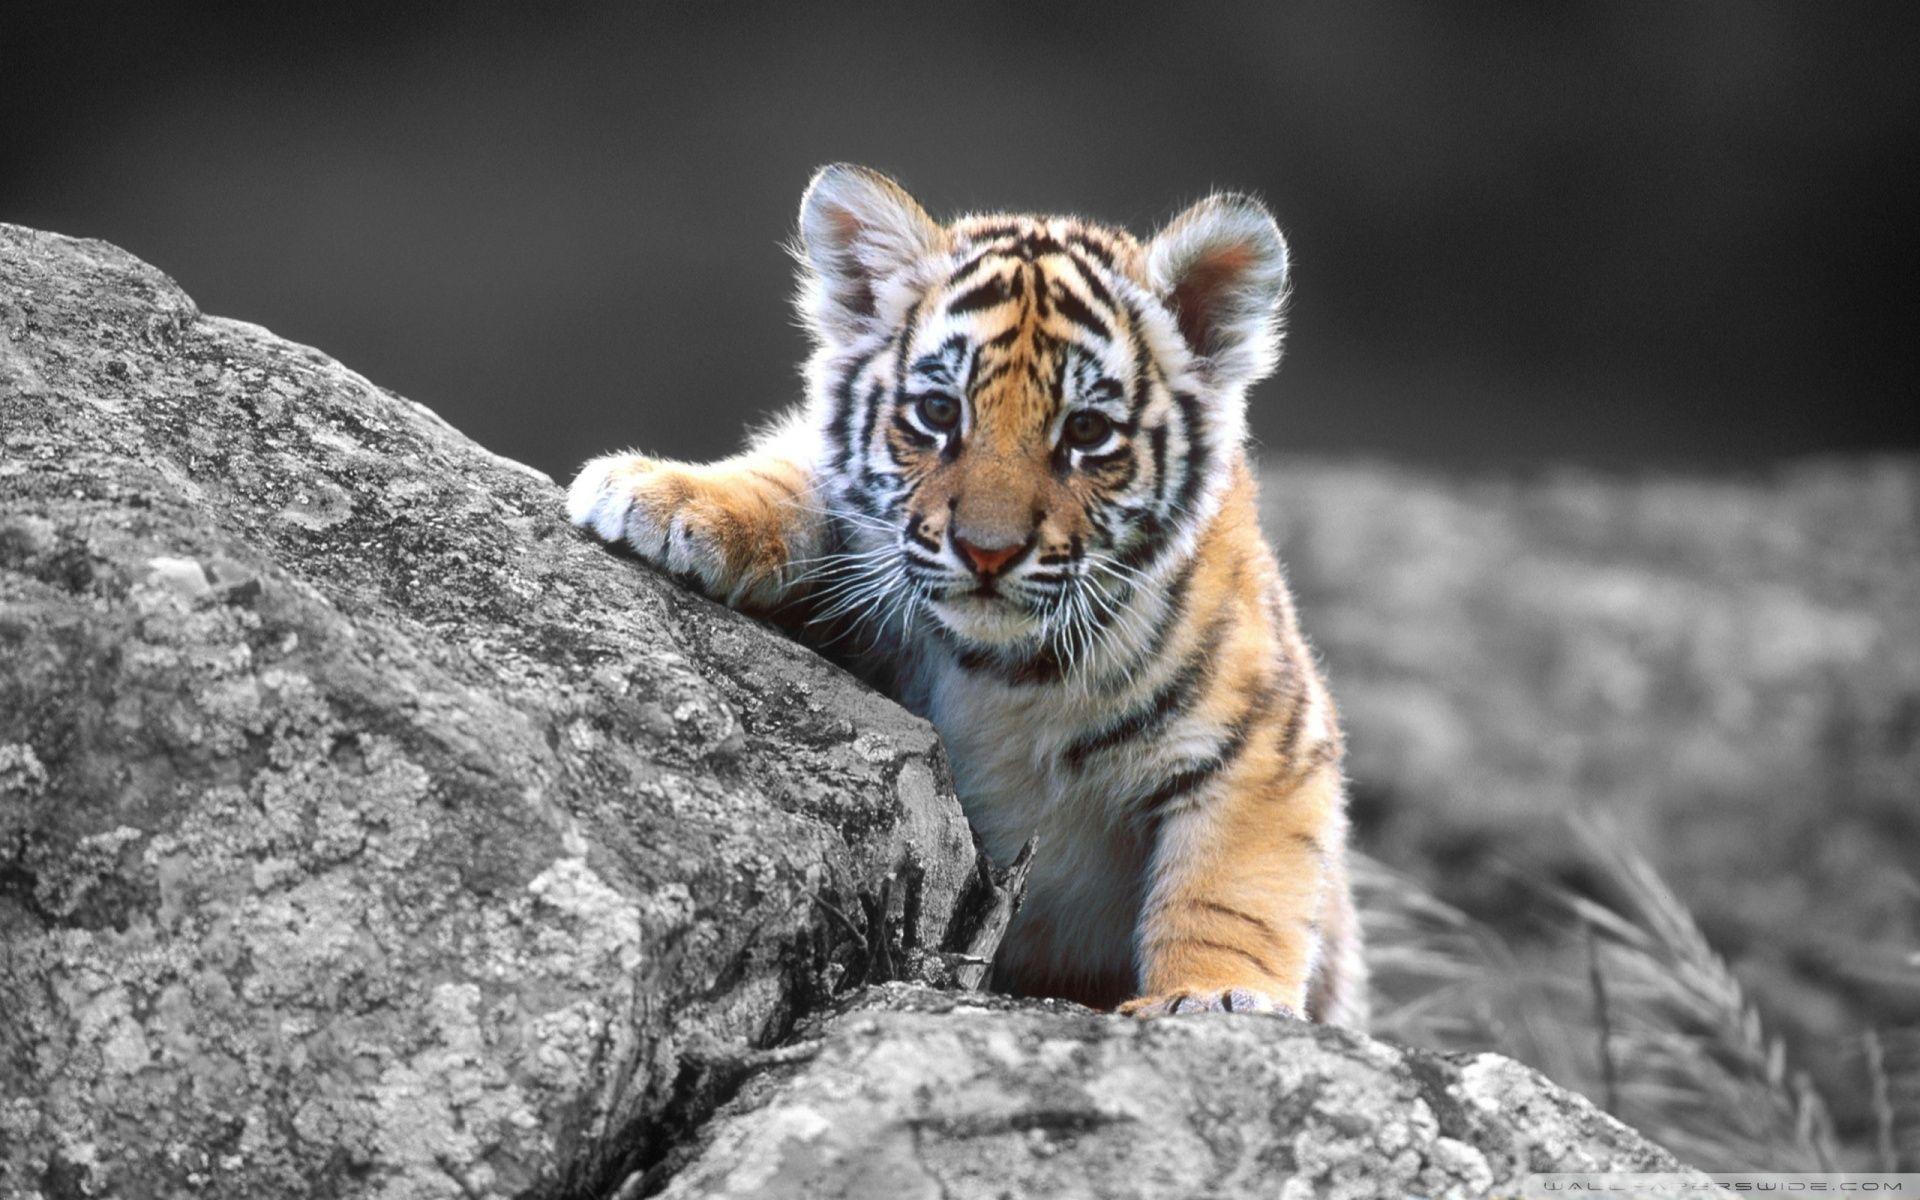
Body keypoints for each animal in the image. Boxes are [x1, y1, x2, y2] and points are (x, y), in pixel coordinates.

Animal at [568, 165, 1366, 1026]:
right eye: (938, 412)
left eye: (1087, 432)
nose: (988, 551)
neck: (1005, 671)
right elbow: (794, 477)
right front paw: (661, 495)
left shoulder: (1268, 742)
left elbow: (1230, 891)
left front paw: (1214, 998)